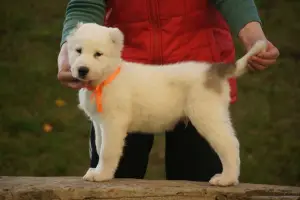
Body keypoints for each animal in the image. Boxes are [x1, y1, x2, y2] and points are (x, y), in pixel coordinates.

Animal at [66, 22, 268, 187]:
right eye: (78, 50)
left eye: (98, 54)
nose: (82, 70)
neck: (107, 78)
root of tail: (214, 70)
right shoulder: (100, 123)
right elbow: (100, 146)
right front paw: (97, 171)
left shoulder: (114, 123)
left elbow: (107, 150)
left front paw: (102, 175)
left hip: (208, 116)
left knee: (230, 144)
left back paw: (227, 179)